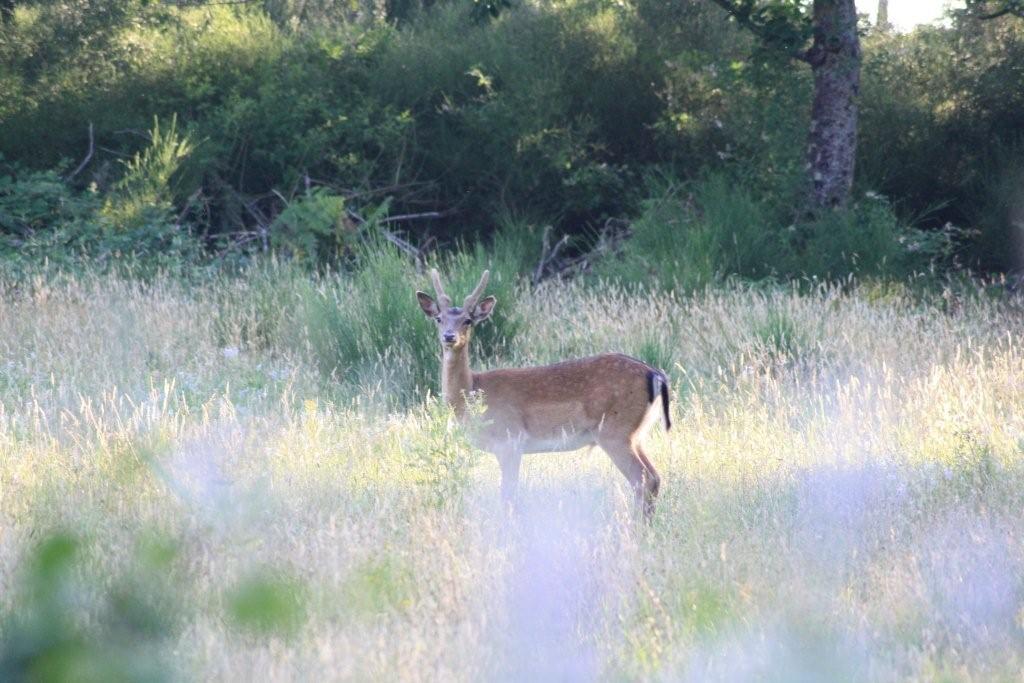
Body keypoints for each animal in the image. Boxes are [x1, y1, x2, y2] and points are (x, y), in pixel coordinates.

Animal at [415, 270, 671, 516]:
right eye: (439, 319)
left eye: (467, 320)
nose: (449, 336)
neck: (473, 393)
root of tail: (656, 375)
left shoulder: (510, 440)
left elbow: (508, 495)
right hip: (636, 433)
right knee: (654, 476)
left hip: (614, 431)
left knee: (643, 479)